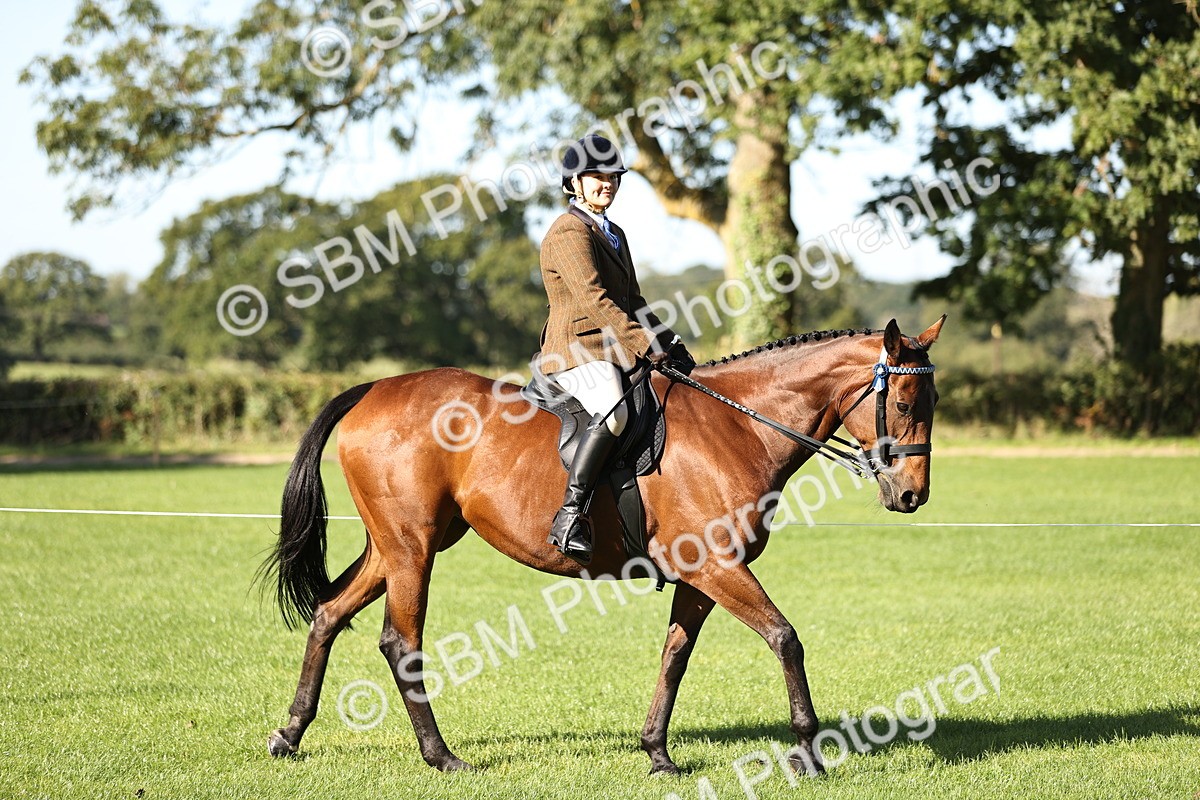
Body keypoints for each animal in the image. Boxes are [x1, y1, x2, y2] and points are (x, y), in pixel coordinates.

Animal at [262, 316, 945, 776]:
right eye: (903, 400)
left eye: (932, 399)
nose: (913, 495)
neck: (738, 426)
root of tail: (373, 389)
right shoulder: (719, 567)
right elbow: (785, 638)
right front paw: (808, 751)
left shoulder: (700, 576)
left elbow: (674, 658)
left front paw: (658, 754)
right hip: (412, 549)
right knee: (400, 642)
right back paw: (441, 756)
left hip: (398, 546)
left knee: (328, 614)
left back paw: (289, 735)